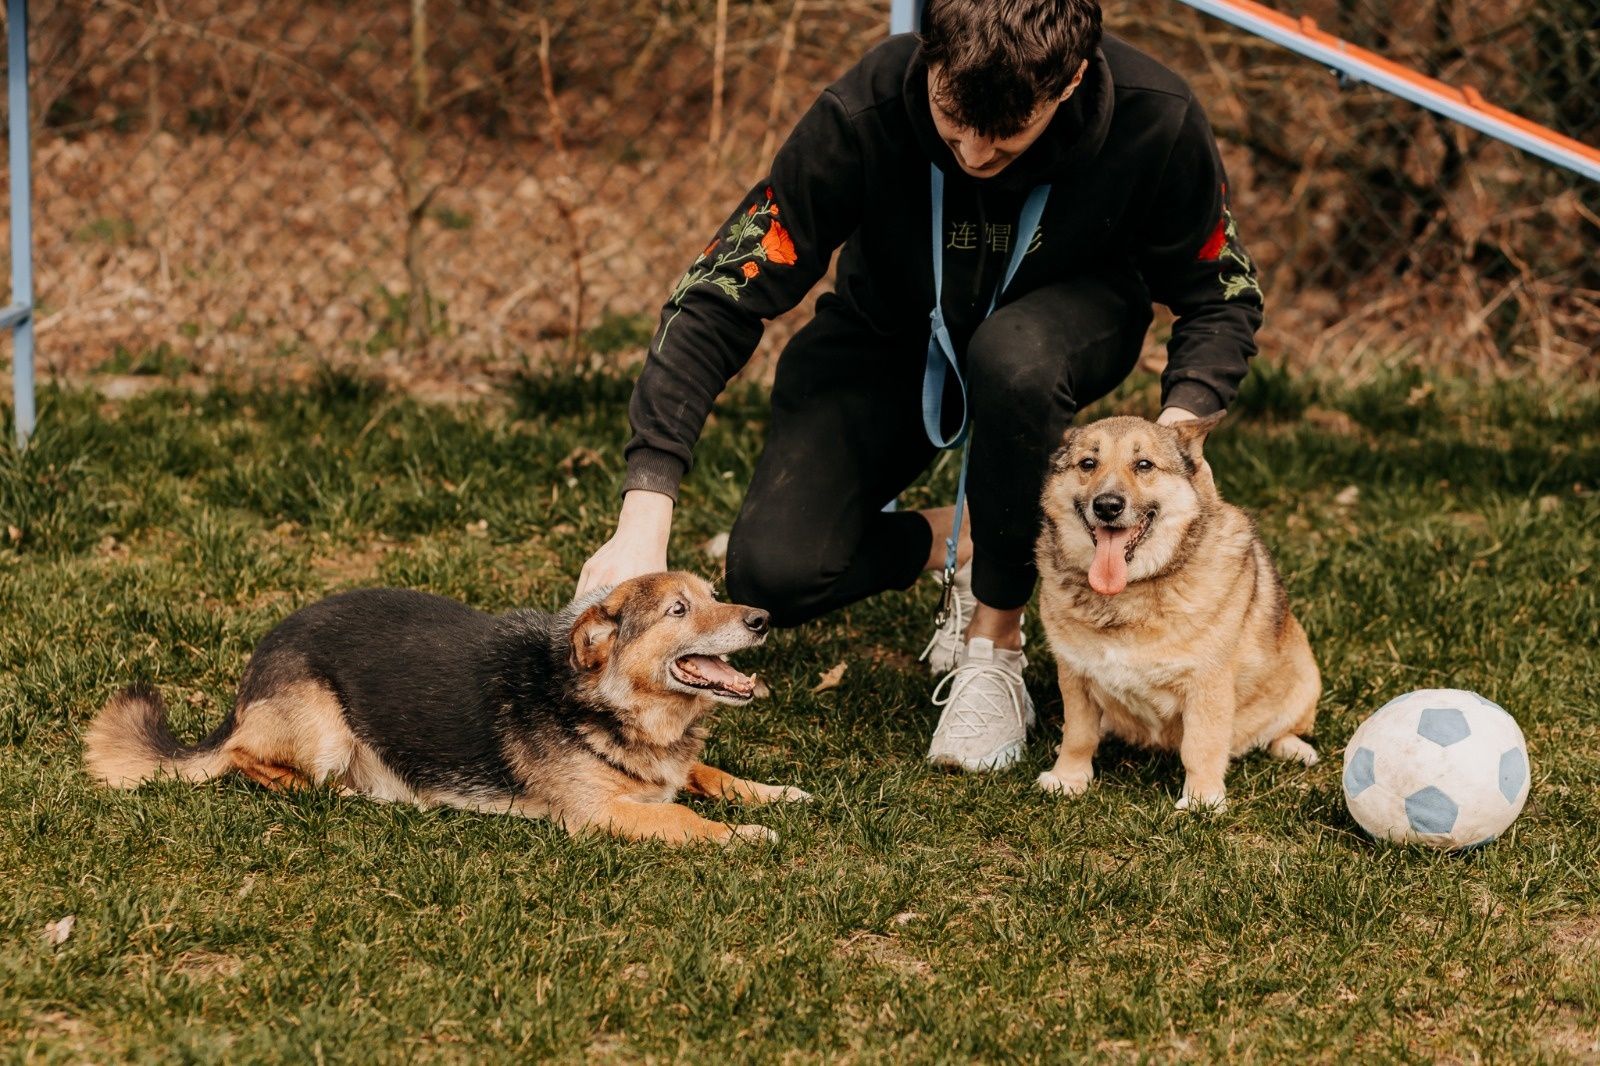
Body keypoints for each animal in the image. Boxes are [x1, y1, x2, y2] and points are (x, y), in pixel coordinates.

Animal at [84, 569, 812, 845]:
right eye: (678, 610)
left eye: (713, 594)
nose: (762, 619)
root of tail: (243, 689)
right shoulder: (601, 814)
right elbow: (684, 816)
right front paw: (744, 835)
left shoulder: (667, 769)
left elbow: (709, 775)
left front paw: (772, 794)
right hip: (322, 726)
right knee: (250, 762)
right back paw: (353, 795)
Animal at [1030, 412, 1318, 806]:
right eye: (1088, 463)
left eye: (1144, 464)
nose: (1107, 506)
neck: (1130, 592)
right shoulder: (1075, 677)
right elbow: (1078, 735)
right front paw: (1068, 779)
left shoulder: (1207, 685)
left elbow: (1202, 746)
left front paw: (1202, 801)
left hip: (1306, 677)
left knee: (1279, 730)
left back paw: (1295, 748)